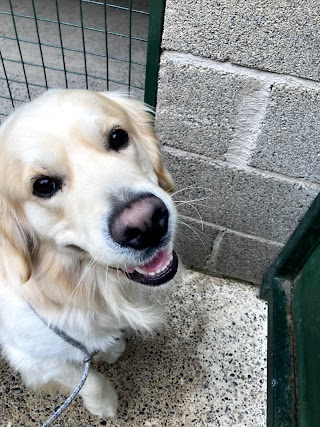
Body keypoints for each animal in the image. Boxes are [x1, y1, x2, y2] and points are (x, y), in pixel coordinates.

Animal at [0, 90, 178, 418]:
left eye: (118, 137)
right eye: (43, 185)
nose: (145, 223)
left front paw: (109, 348)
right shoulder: (34, 358)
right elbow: (89, 379)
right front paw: (104, 404)